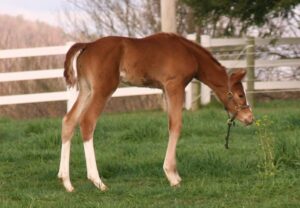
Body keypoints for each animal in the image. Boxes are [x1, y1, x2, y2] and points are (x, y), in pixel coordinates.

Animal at [57, 33, 252, 192]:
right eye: (240, 94)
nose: (249, 117)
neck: (189, 53)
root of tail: (88, 45)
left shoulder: (165, 89)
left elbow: (171, 125)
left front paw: (175, 173)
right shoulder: (174, 86)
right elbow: (176, 125)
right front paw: (172, 176)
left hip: (86, 89)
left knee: (69, 120)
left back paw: (67, 182)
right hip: (103, 89)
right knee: (87, 121)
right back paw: (97, 181)